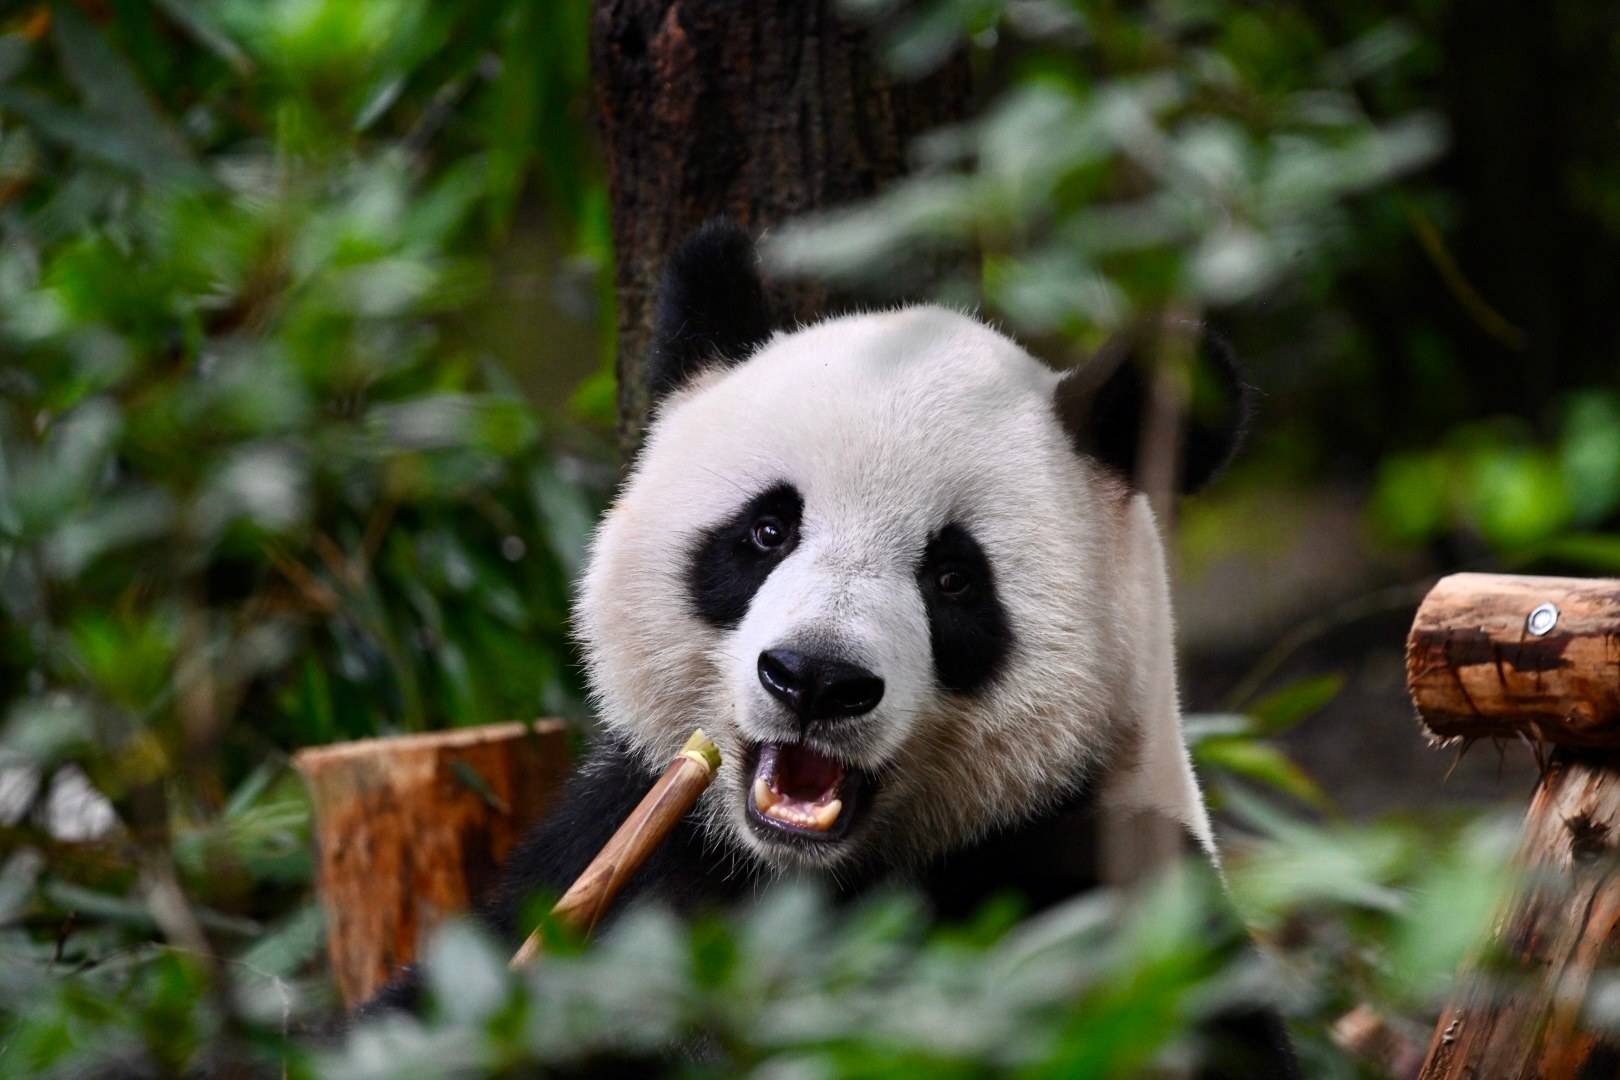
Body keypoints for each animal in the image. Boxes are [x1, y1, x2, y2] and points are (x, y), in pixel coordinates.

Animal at [367, 221, 1299, 1078]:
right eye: (768, 530)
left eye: (953, 578)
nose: (815, 679)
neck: (798, 878)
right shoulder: (622, 847)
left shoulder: (1105, 884)